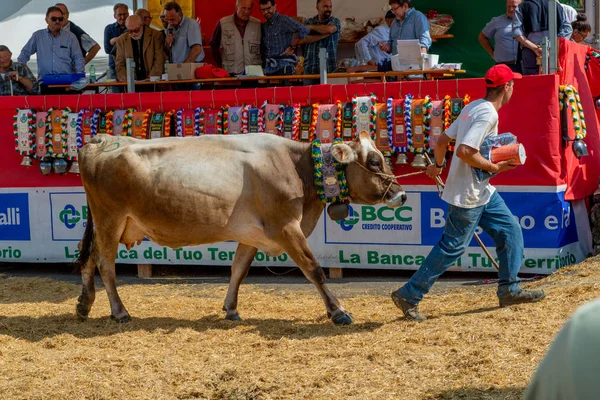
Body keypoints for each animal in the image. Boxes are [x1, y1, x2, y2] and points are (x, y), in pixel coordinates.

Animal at [72, 131, 406, 324]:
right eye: (374, 162)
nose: (401, 194)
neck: (296, 167)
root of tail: (101, 140)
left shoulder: (251, 234)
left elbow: (239, 270)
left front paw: (231, 309)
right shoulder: (286, 226)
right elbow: (314, 269)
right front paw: (338, 311)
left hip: (106, 222)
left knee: (88, 258)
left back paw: (84, 304)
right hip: (110, 218)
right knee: (105, 264)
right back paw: (119, 312)